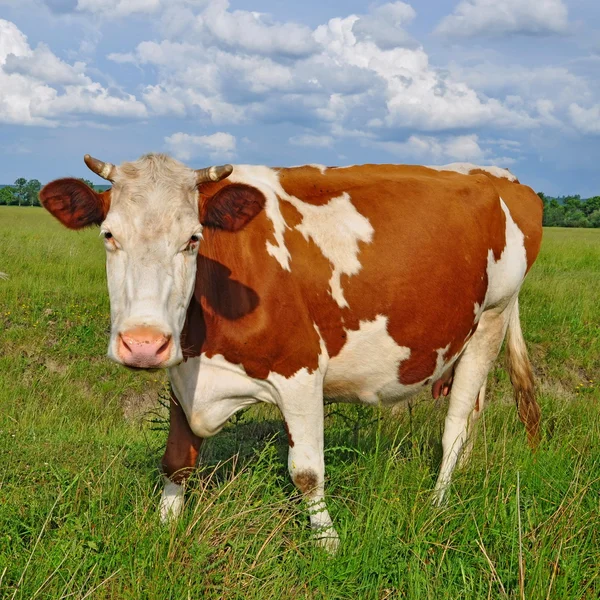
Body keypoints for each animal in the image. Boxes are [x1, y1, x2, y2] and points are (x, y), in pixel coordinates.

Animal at [39, 152, 540, 552]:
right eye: (108, 234)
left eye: (193, 238)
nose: (143, 342)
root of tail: (499, 176)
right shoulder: (182, 372)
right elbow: (177, 461)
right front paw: (165, 528)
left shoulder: (301, 370)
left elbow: (307, 472)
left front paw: (328, 545)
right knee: (471, 414)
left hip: (492, 317)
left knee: (455, 426)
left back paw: (438, 502)